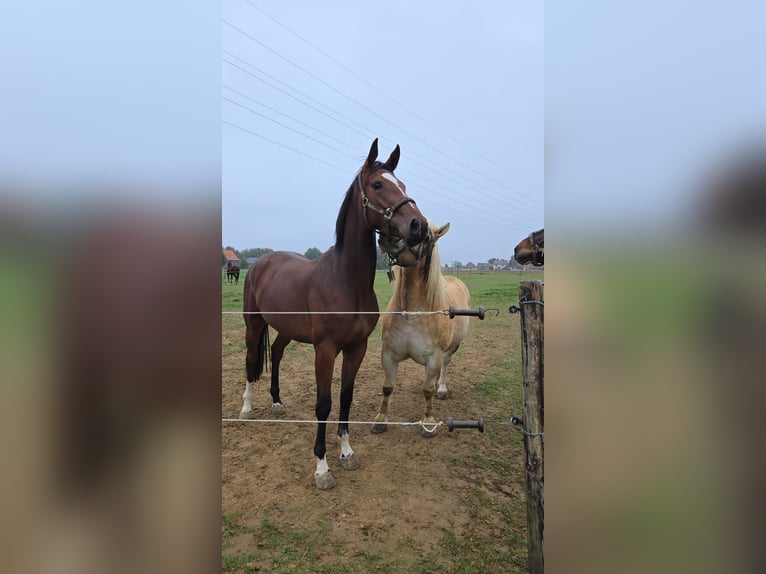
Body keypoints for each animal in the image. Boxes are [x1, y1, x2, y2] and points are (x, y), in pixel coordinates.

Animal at [241, 139, 430, 489]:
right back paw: (247, 408)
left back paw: (276, 401)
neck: (346, 281)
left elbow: (345, 398)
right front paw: (322, 467)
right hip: (253, 324)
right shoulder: (325, 350)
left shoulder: (357, 348)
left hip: (286, 329)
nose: (419, 226)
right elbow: (324, 403)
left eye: (403, 185)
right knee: (250, 361)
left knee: (276, 353)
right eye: (378, 184)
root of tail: (260, 262)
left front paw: (346, 452)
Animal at [372, 221, 471, 438]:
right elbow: (387, 387)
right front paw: (380, 420)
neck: (412, 314)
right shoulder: (389, 355)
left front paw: (428, 422)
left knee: (445, 366)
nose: (390, 237)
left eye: (425, 235)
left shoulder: (434, 357)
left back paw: (441, 389)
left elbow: (427, 390)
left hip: (452, 347)